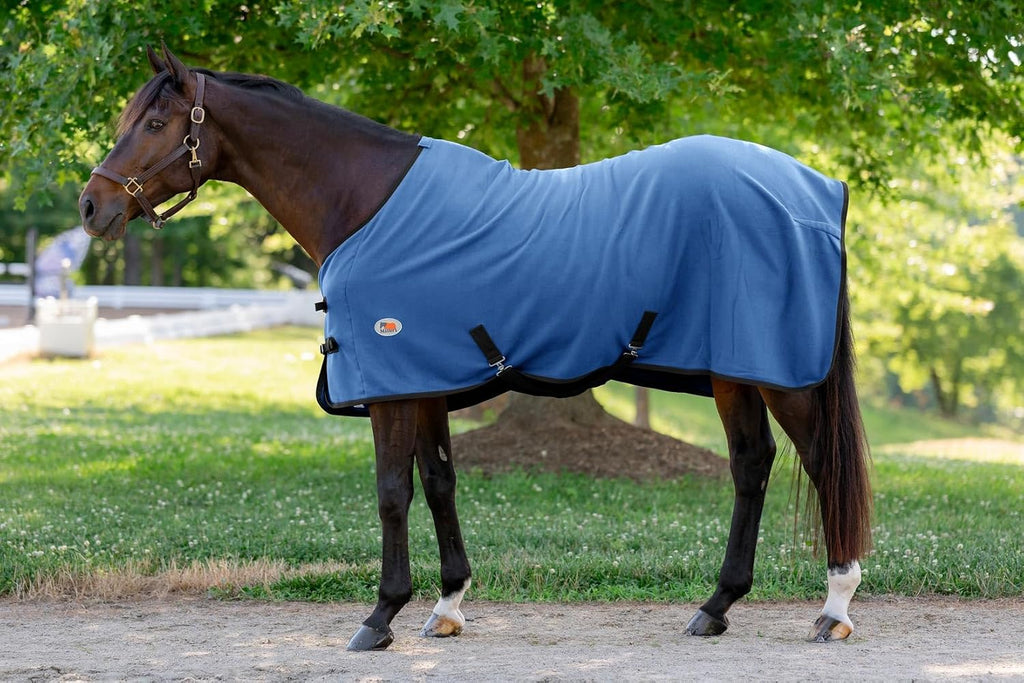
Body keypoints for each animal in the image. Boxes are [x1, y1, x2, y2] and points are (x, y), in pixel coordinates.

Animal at [79, 46, 872, 651]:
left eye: (156, 121)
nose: (92, 207)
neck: (363, 201)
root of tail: (818, 187)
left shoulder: (390, 386)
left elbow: (391, 492)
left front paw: (380, 616)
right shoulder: (425, 380)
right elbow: (438, 483)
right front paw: (447, 606)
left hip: (782, 376)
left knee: (819, 463)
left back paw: (834, 608)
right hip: (735, 371)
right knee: (752, 465)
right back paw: (715, 607)